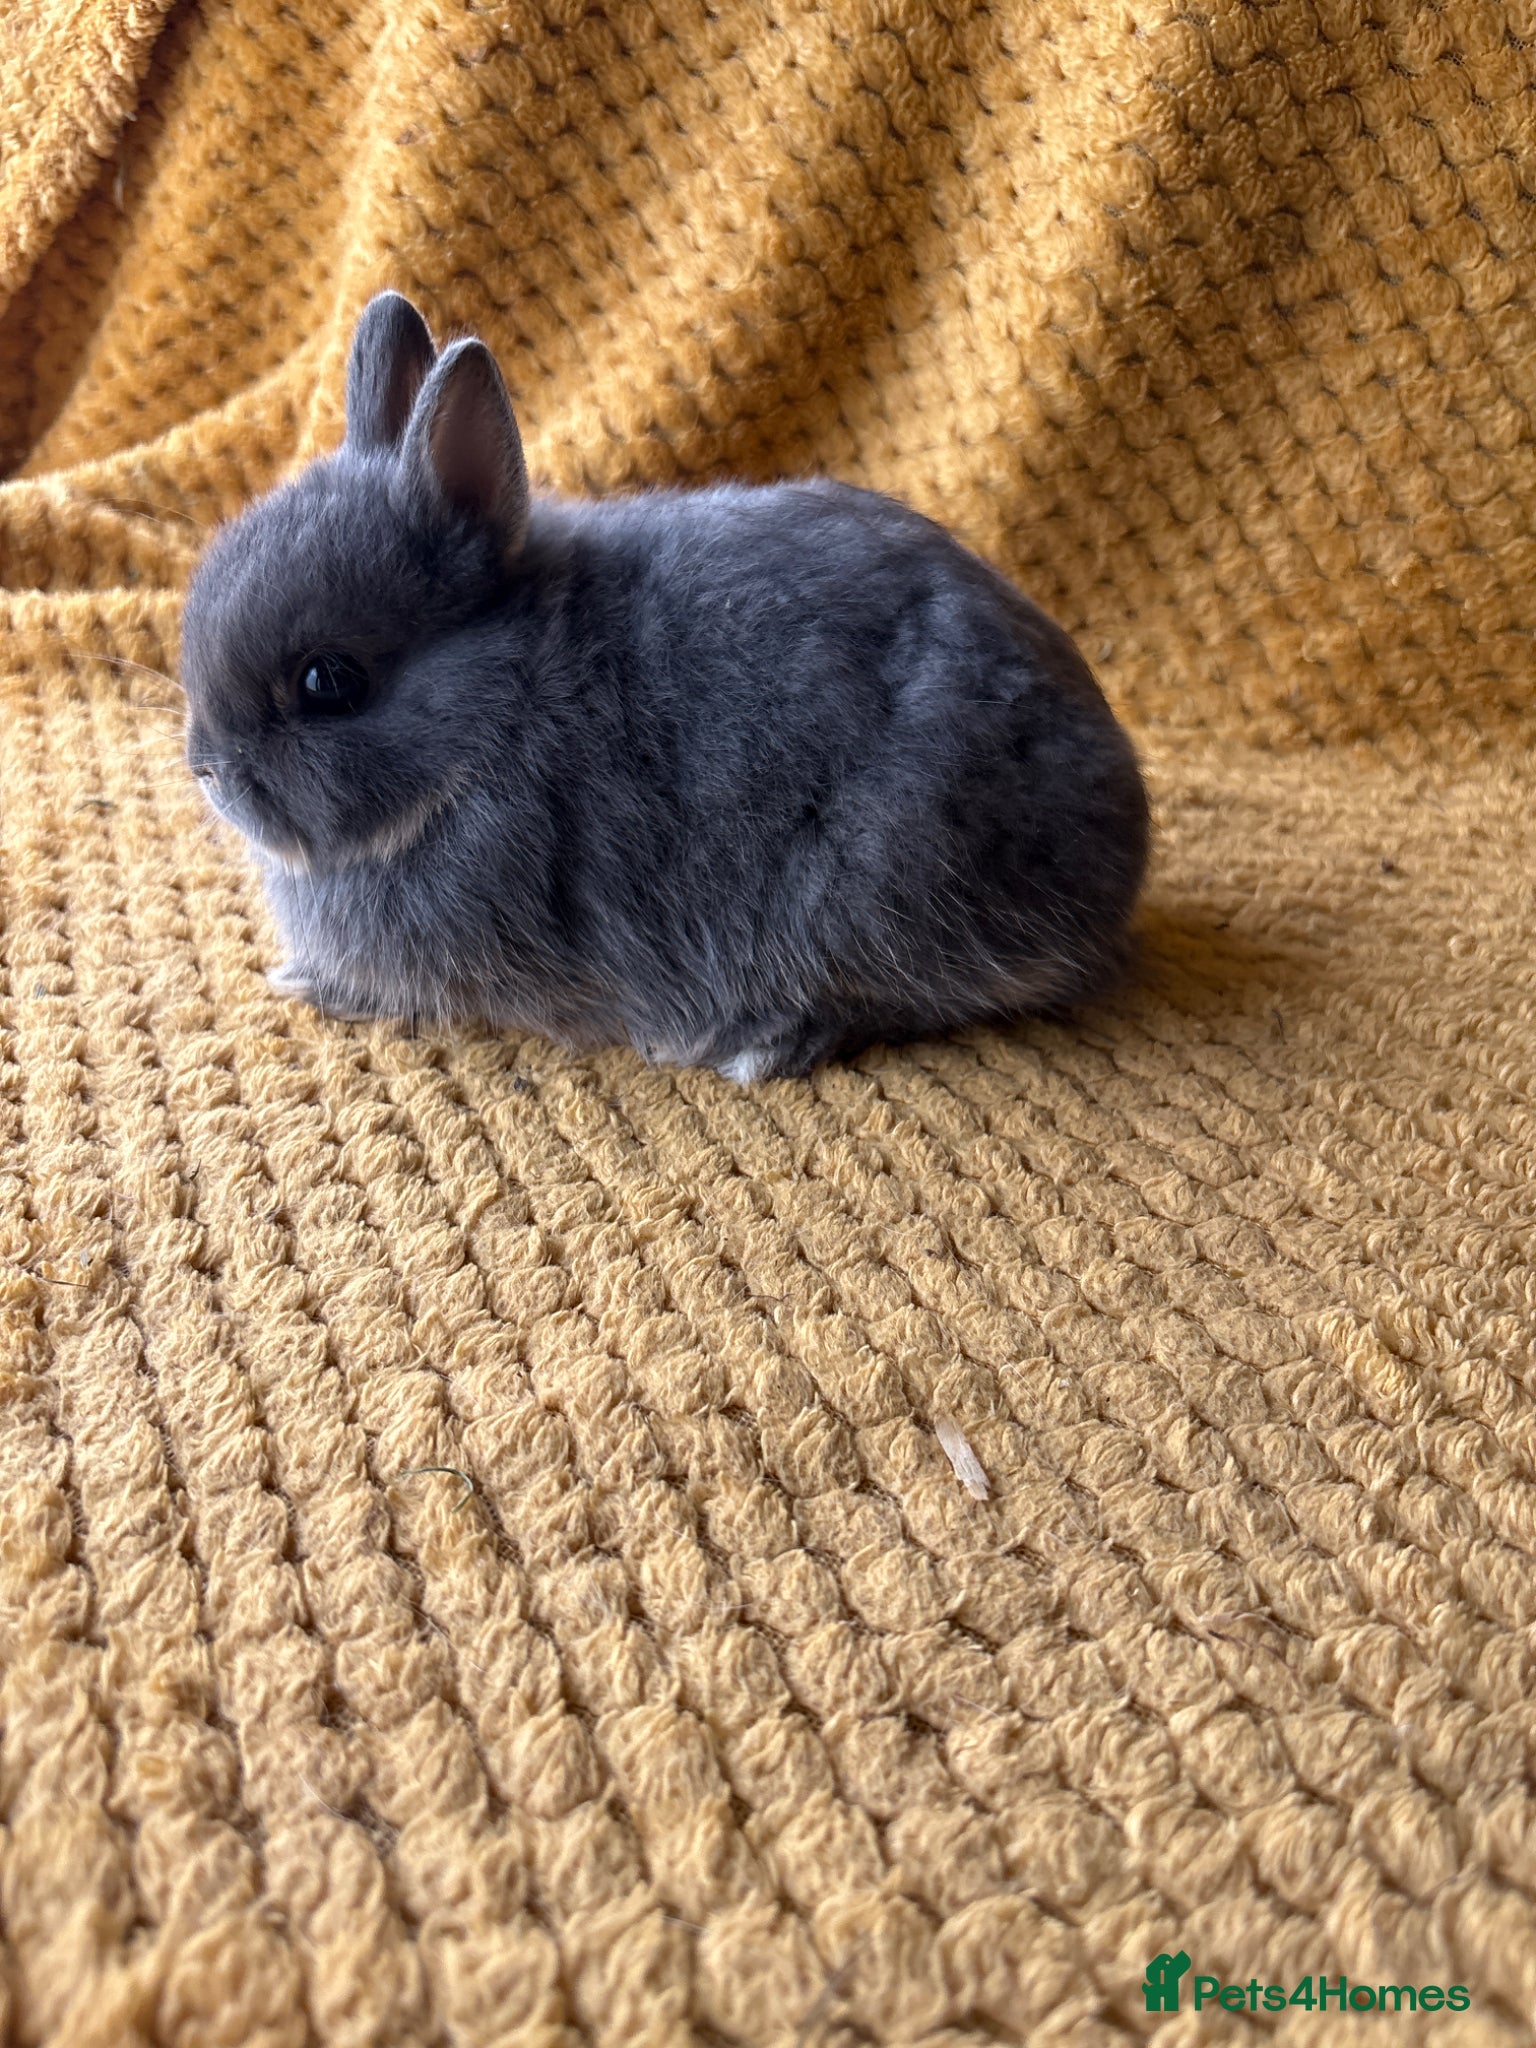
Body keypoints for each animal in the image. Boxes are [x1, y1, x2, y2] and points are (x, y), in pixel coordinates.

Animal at [180, 291, 1150, 1082]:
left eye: (328, 681)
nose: (208, 772)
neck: (495, 712)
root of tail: (1117, 861)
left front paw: (308, 982)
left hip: (874, 885)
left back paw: (760, 1042)